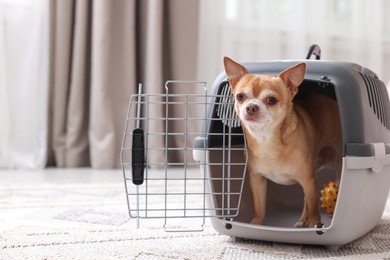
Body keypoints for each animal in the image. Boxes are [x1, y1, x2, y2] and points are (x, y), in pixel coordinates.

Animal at [222, 57, 342, 228]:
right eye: (240, 96)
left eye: (271, 100)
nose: (251, 107)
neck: (266, 139)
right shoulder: (257, 179)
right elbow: (259, 205)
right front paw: (256, 223)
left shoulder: (308, 179)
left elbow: (314, 208)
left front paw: (315, 224)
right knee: (306, 199)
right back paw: (302, 220)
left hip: (335, 167)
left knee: (310, 199)